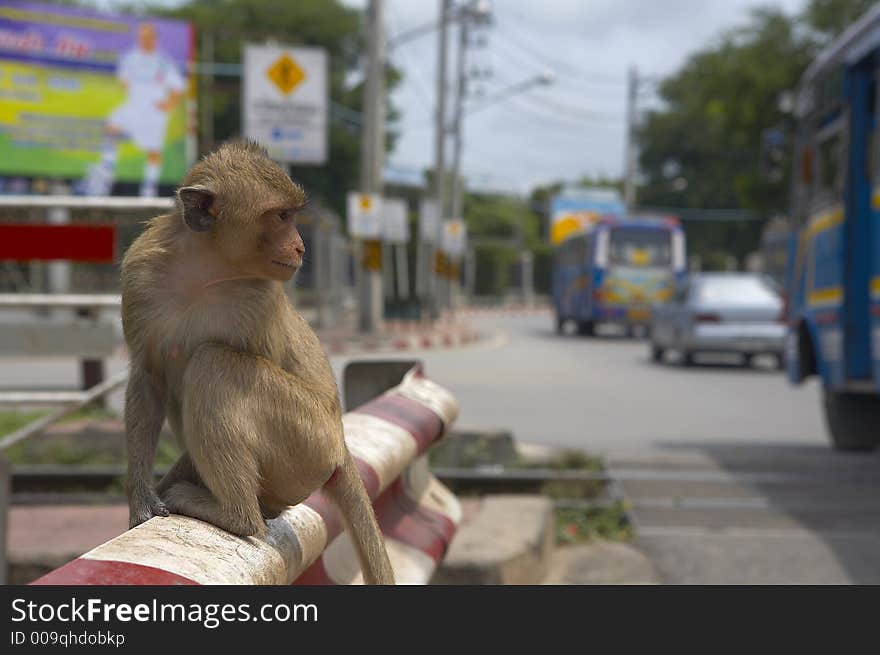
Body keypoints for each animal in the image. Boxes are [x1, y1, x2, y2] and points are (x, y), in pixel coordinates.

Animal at [118, 138, 394, 584]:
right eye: (281, 216)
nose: (300, 246)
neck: (203, 269)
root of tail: (338, 443)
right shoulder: (139, 275)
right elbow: (149, 376)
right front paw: (141, 496)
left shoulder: (258, 300)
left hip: (306, 441)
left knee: (213, 365)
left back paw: (237, 515)